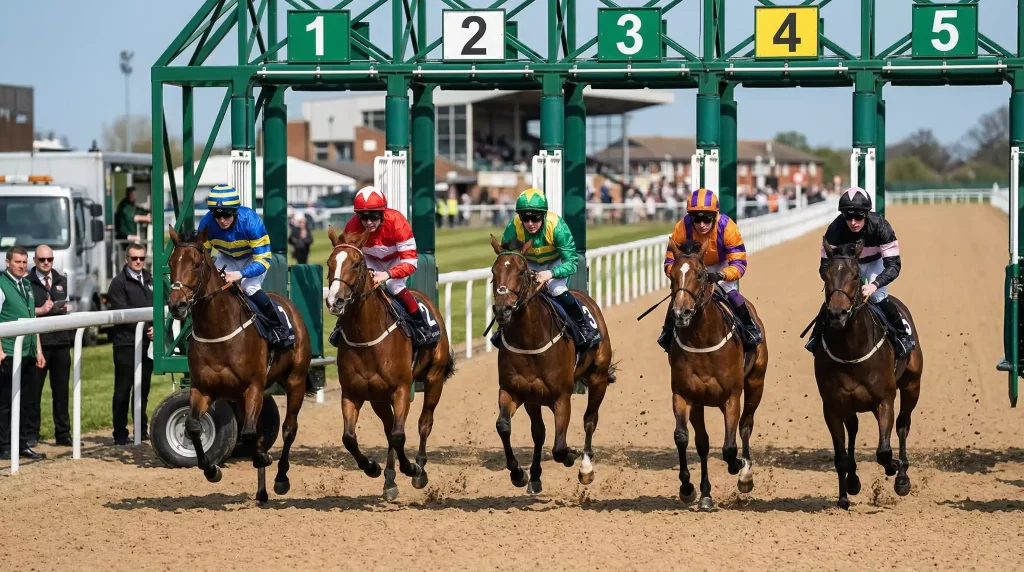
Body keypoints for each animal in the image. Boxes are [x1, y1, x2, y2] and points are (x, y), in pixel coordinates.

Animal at [166, 227, 312, 504]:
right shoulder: (203, 388)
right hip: (239, 397)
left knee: (289, 428)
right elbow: (193, 426)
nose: (176, 305)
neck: (217, 330)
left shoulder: (253, 387)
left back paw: (280, 479)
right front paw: (212, 470)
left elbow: (249, 433)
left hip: (295, 379)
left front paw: (264, 459)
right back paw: (262, 488)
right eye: (170, 263)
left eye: (197, 264)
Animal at [325, 225, 455, 500]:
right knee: (388, 428)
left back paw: (419, 469)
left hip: (434, 378)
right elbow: (350, 437)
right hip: (378, 398)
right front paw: (372, 468)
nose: (335, 301)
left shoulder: (402, 389)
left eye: (356, 263)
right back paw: (390, 479)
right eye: (329, 263)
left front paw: (412, 469)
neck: (367, 338)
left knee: (424, 422)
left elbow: (398, 435)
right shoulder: (352, 393)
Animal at [489, 236, 614, 493]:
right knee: (539, 432)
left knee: (590, 419)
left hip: (598, 378)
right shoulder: (513, 391)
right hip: (534, 399)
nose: (503, 309)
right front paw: (519, 474)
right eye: (493, 272)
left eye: (522, 271)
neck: (529, 341)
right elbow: (504, 426)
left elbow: (559, 447)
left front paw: (571, 456)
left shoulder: (562, 397)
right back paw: (535, 477)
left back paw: (585, 466)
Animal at [664, 239, 767, 510]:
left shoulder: (731, 397)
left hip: (756, 383)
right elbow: (683, 437)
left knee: (745, 425)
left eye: (700, 275)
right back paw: (706, 494)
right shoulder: (684, 395)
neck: (703, 341)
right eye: (671, 274)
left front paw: (739, 467)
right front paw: (688, 488)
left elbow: (730, 447)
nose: (681, 313)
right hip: (700, 403)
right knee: (702, 443)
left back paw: (745, 474)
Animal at [815, 240, 923, 509]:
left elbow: (884, 451)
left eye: (855, 276)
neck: (851, 348)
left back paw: (902, 476)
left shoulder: (884, 400)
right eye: (825, 275)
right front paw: (845, 495)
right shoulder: (832, 406)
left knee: (903, 425)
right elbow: (841, 456)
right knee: (853, 429)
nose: (837, 314)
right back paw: (853, 481)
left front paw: (894, 467)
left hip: (912, 385)